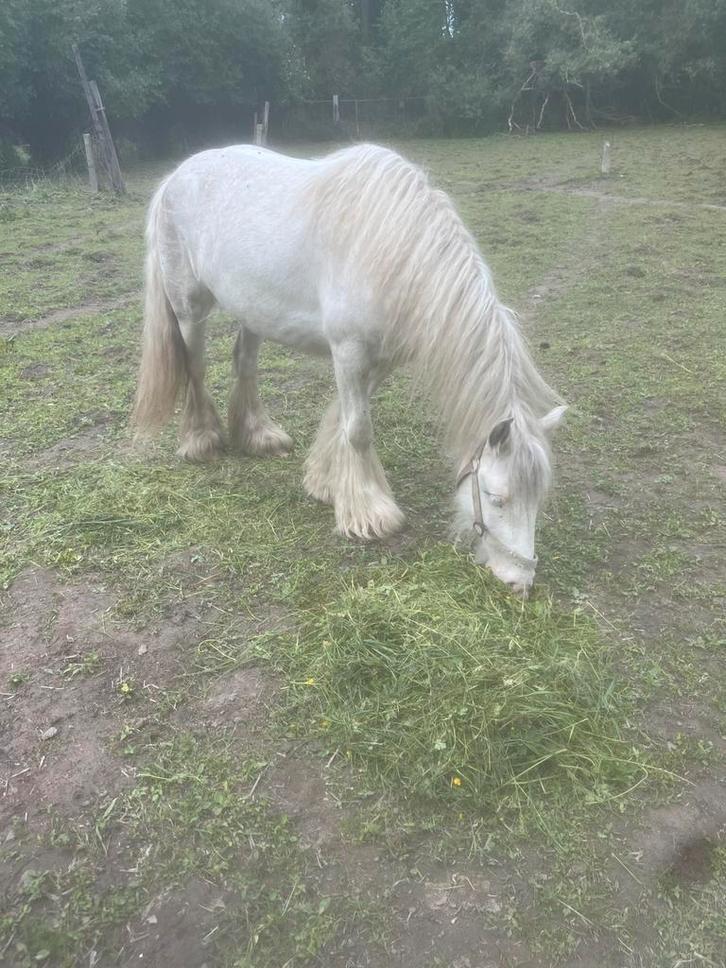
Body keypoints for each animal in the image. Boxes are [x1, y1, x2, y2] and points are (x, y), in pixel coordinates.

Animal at [132, 143, 566, 595]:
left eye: (539, 497)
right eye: (497, 497)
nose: (520, 581)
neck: (395, 252)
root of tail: (175, 176)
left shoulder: (380, 360)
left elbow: (342, 417)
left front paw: (325, 482)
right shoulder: (349, 352)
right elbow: (358, 430)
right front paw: (370, 514)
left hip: (253, 311)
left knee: (244, 364)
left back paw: (258, 435)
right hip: (189, 308)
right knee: (195, 369)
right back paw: (201, 440)